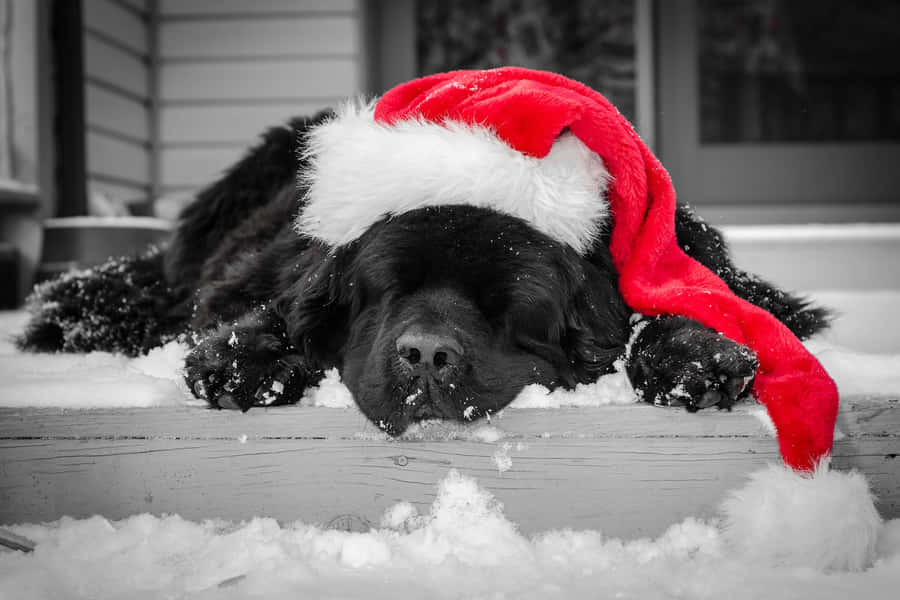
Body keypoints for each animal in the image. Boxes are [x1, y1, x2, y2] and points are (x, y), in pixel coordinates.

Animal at [15, 111, 828, 432]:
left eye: (507, 306)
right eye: (387, 291)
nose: (427, 356)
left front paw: (694, 355)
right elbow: (281, 306)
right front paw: (247, 359)